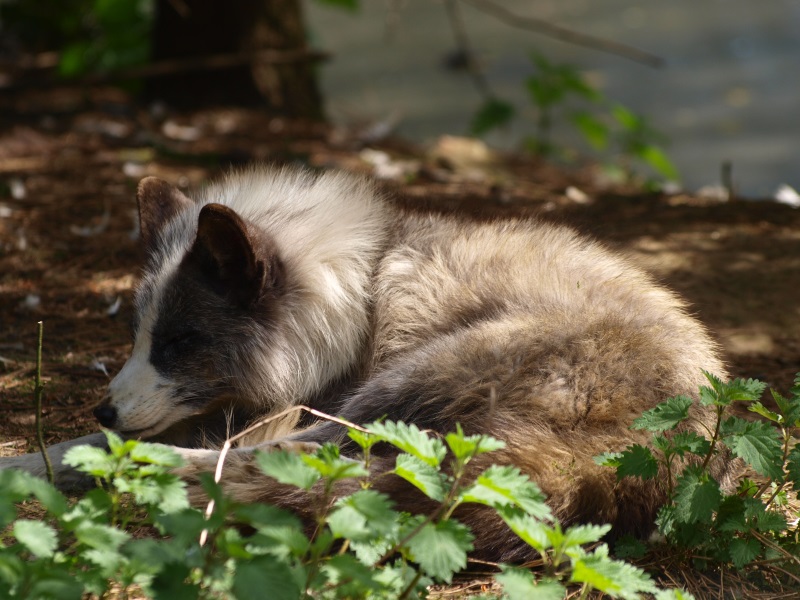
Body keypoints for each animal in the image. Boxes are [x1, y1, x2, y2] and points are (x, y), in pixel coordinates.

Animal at [1, 165, 735, 562]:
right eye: (138, 334)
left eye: (181, 341)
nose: (105, 408)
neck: (359, 291)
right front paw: (37, 458)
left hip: (415, 375)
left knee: (291, 457)